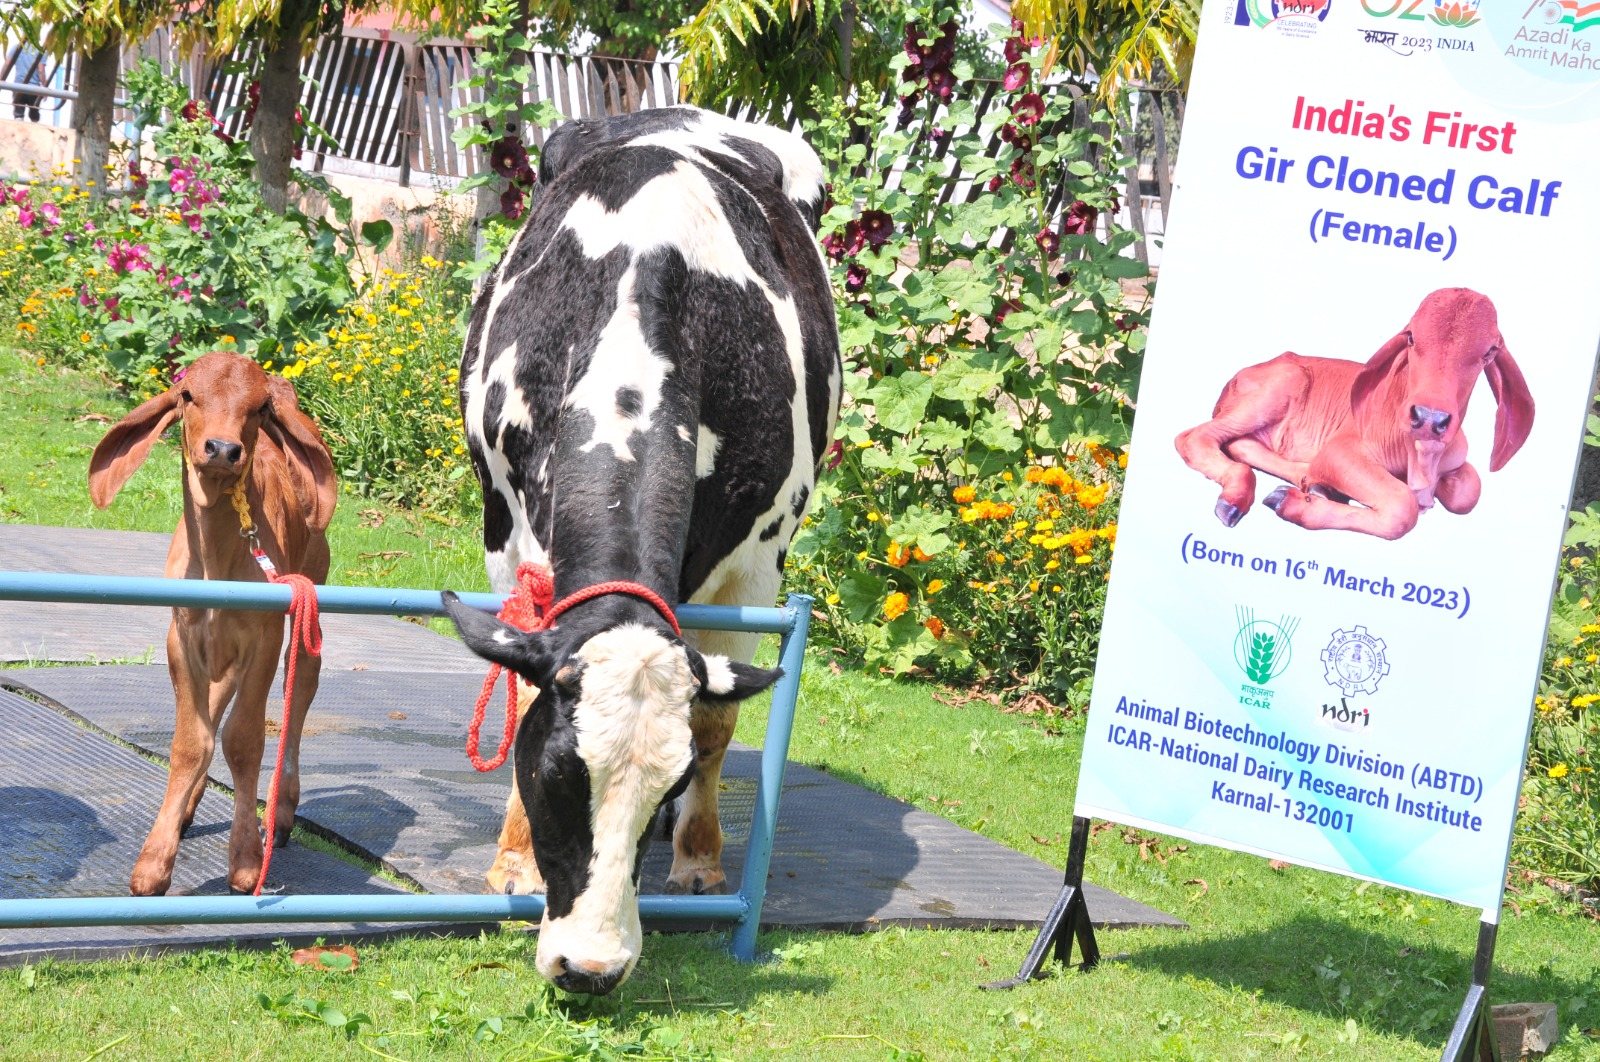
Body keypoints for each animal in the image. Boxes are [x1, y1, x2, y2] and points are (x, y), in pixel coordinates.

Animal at [89, 351, 336, 889]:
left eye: (259, 408)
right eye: (187, 395)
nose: (223, 449)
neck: (219, 555)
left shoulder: (265, 636)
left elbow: (242, 740)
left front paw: (245, 861)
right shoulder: (181, 636)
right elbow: (191, 741)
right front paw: (155, 860)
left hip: (309, 596)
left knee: (301, 686)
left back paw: (281, 813)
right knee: (219, 702)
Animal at [438, 107, 838, 998]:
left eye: (667, 786)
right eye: (555, 777)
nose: (591, 968)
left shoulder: (754, 569)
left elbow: (717, 719)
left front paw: (697, 861)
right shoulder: (511, 539)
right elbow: (522, 684)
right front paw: (514, 863)